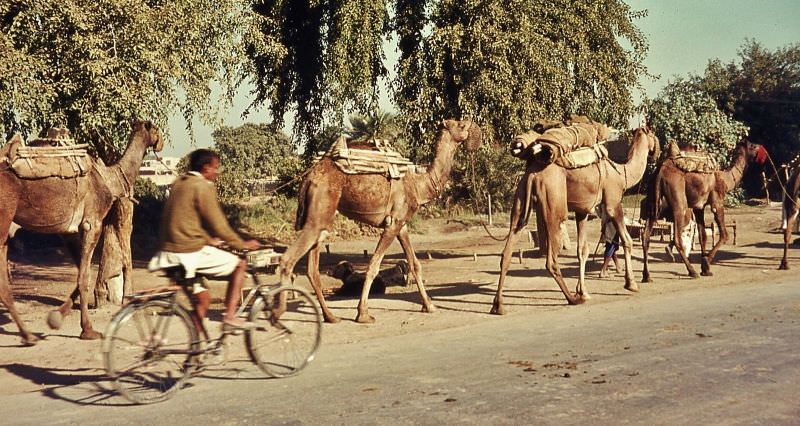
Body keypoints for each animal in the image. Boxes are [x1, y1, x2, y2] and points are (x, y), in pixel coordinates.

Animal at [0, 120, 162, 346]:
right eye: (154, 129)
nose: (161, 142)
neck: (109, 180)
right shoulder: (92, 223)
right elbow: (84, 277)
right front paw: (88, 330)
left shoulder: (69, 231)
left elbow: (80, 274)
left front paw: (55, 318)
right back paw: (29, 335)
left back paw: (27, 335)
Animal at [280, 120, 482, 322]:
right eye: (461, 124)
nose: (475, 127)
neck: (419, 185)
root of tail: (308, 177)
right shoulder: (392, 225)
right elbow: (373, 265)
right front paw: (363, 314)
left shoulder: (402, 224)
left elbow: (415, 264)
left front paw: (429, 306)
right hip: (319, 210)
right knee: (288, 259)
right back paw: (280, 311)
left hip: (320, 216)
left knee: (312, 268)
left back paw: (330, 316)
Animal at [494, 126, 656, 312]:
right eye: (653, 134)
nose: (657, 150)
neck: (622, 173)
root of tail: (533, 174)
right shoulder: (613, 203)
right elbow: (627, 241)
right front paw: (631, 284)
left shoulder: (582, 211)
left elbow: (582, 250)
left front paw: (583, 291)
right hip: (554, 203)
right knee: (551, 259)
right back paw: (572, 299)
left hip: (520, 200)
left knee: (506, 253)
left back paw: (498, 306)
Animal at [640, 138, 764, 282]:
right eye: (753, 146)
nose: (761, 147)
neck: (725, 179)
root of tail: (660, 171)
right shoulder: (717, 202)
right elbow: (724, 234)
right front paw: (706, 264)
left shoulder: (699, 207)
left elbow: (702, 236)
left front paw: (706, 269)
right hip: (678, 201)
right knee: (677, 237)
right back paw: (692, 272)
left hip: (654, 202)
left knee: (646, 236)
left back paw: (647, 276)